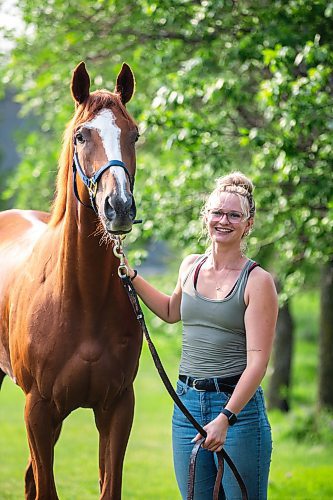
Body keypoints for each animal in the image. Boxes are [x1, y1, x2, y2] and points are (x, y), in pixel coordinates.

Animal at [0, 62, 141, 500]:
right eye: (82, 135)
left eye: (134, 134)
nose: (119, 207)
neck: (82, 298)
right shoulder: (37, 410)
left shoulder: (116, 408)